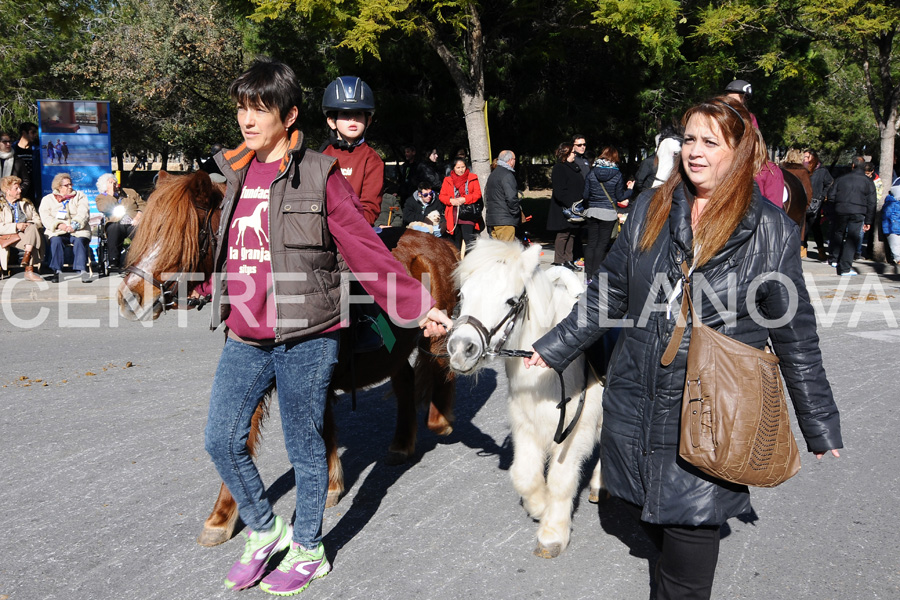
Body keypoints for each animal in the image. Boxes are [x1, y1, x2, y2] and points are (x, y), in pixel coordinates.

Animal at [118, 171, 458, 548]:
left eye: (182, 235)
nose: (130, 297)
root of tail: (441, 243)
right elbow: (249, 431)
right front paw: (222, 516)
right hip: (396, 350)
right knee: (406, 379)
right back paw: (401, 444)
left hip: (434, 337)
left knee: (442, 369)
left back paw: (440, 420)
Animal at [450, 239, 604, 556]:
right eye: (463, 294)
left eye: (511, 301)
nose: (460, 349)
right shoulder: (524, 424)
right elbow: (523, 475)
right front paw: (539, 506)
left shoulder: (574, 432)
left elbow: (560, 480)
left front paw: (552, 533)